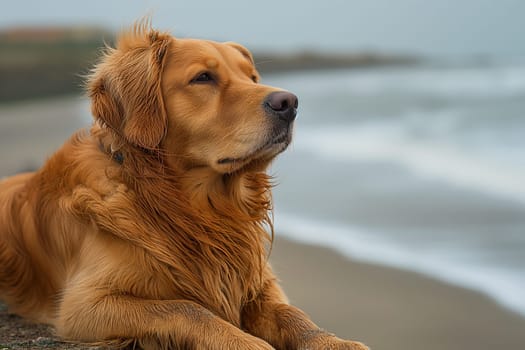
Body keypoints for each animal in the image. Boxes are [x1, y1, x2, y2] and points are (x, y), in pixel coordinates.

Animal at [0, 21, 368, 350]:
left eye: (251, 78)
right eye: (203, 77)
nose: (289, 103)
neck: (192, 207)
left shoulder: (258, 282)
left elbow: (293, 315)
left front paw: (335, 342)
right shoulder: (83, 305)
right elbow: (186, 308)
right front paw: (243, 342)